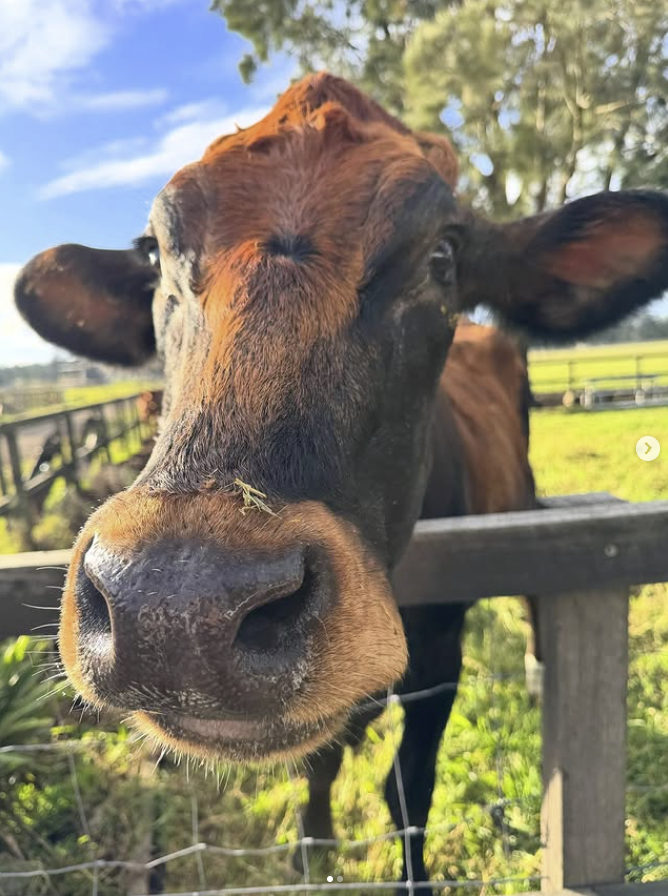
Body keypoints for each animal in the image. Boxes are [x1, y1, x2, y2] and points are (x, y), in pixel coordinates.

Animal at [14, 73, 668, 892]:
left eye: (443, 255)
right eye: (156, 253)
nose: (173, 608)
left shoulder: (440, 653)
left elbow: (408, 788)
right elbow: (318, 773)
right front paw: (314, 842)